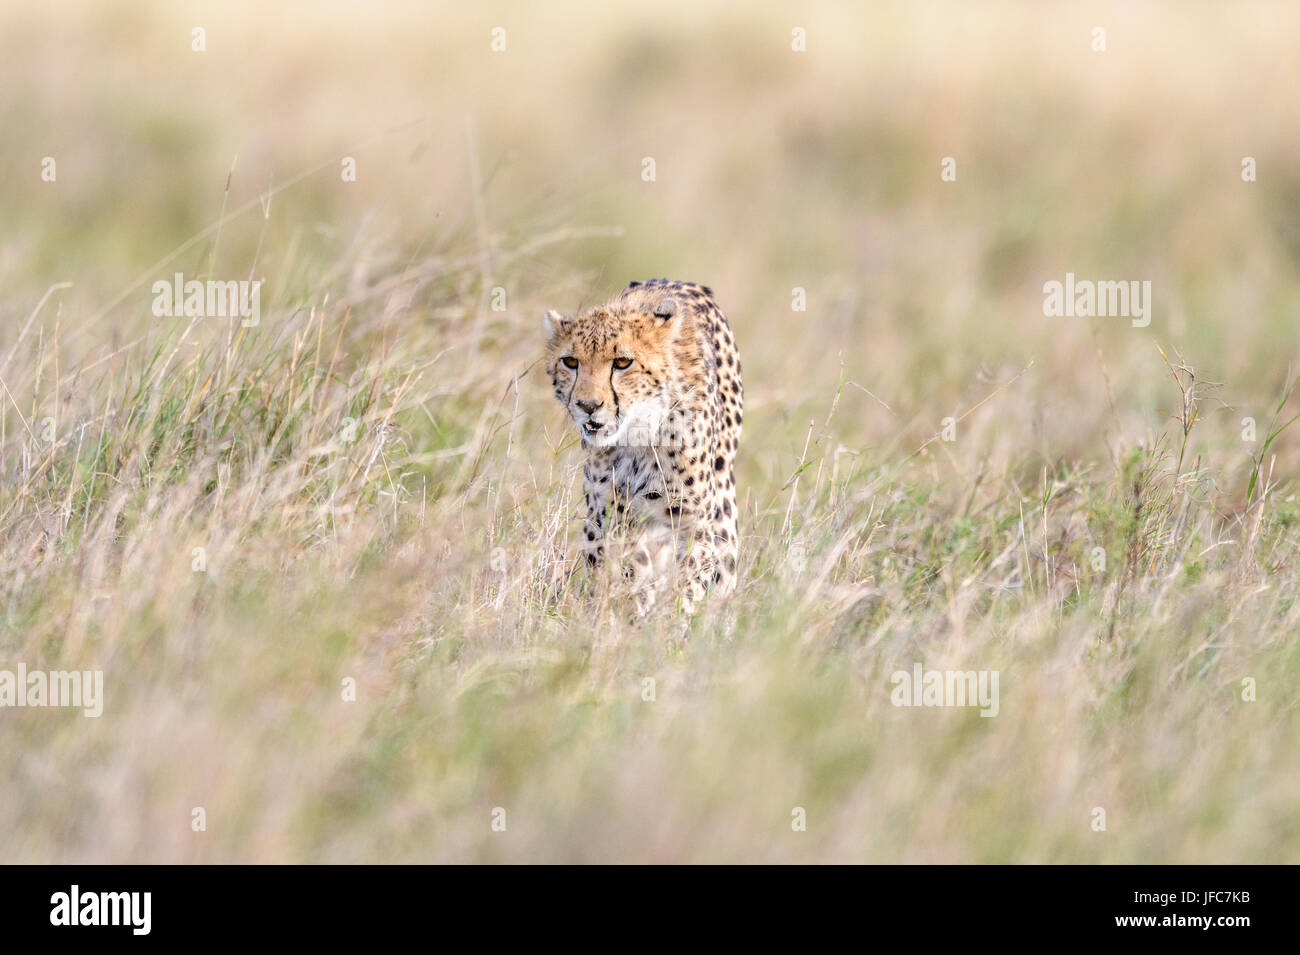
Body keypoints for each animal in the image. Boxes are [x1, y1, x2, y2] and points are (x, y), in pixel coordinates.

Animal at [540, 280, 743, 615]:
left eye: (623, 362)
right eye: (571, 362)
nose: (588, 406)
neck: (638, 434)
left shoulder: (694, 522)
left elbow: (687, 583)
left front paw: (671, 623)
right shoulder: (609, 517)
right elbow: (622, 577)